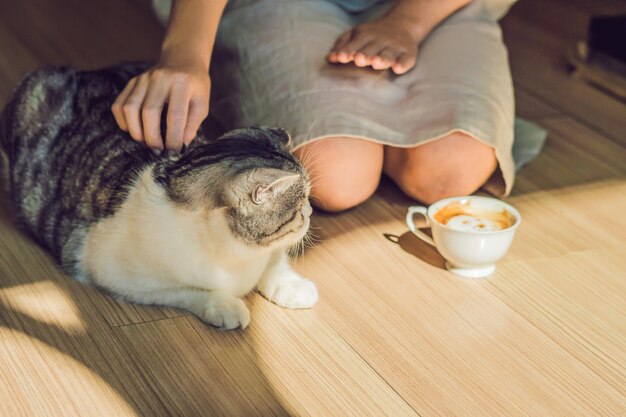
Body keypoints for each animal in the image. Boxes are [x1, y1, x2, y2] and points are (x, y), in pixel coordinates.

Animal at [1, 63, 316, 328]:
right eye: (300, 204)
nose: (311, 212)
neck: (238, 256)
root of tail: (82, 72)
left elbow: (276, 261)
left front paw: (291, 286)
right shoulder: (115, 273)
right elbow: (187, 289)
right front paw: (225, 306)